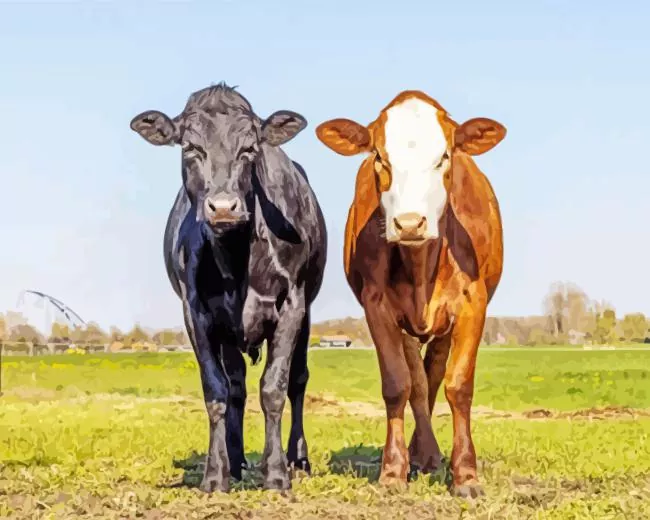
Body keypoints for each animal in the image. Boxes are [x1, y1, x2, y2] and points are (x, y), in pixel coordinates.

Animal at [129, 82, 327, 492]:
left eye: (249, 148)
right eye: (190, 147)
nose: (223, 207)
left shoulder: (293, 304)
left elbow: (275, 386)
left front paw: (276, 473)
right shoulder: (196, 311)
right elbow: (217, 389)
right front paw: (216, 473)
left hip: (307, 311)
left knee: (298, 380)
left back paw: (298, 458)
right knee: (236, 385)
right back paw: (234, 460)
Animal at [315, 90, 506, 498]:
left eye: (444, 156)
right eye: (378, 157)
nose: (409, 223)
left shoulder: (473, 304)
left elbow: (458, 385)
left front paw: (466, 475)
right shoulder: (377, 307)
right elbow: (398, 384)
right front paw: (392, 470)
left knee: (433, 374)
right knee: (418, 382)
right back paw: (423, 454)